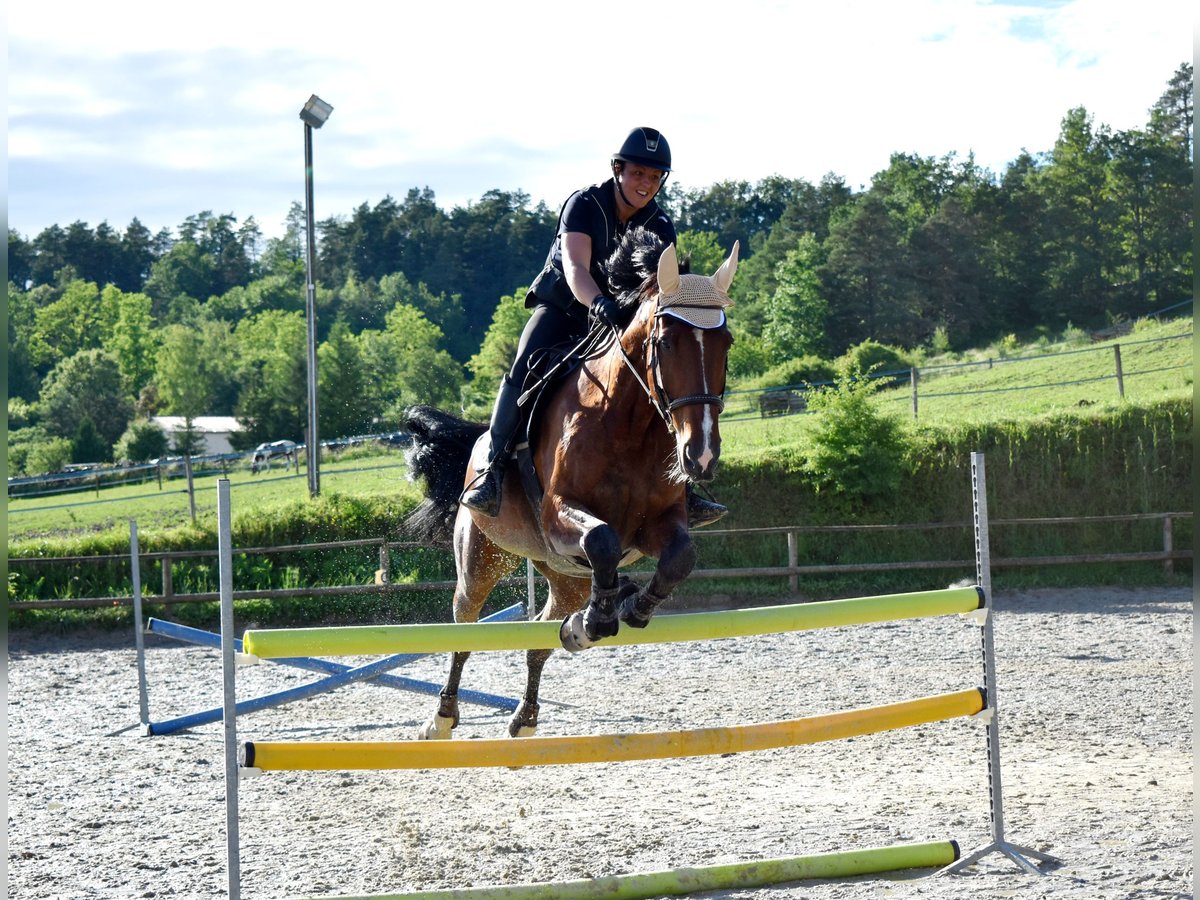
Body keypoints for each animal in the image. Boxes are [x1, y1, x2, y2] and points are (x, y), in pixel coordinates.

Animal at [408, 229, 734, 744]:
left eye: (727, 343)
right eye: (665, 342)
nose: (700, 456)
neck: (629, 424)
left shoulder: (657, 524)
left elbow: (680, 557)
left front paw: (632, 608)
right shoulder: (560, 513)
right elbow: (601, 538)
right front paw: (602, 618)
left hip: (564, 576)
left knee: (544, 633)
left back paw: (528, 712)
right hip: (482, 557)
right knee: (466, 626)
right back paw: (442, 717)